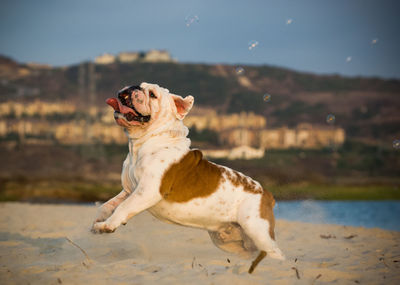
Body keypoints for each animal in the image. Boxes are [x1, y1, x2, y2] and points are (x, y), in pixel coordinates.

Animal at [91, 81, 284, 270]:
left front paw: (108, 225)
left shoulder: (147, 191)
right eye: (139, 84)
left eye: (152, 94)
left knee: (276, 253)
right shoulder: (129, 190)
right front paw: (99, 221)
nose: (132, 88)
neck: (144, 142)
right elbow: (108, 205)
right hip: (228, 241)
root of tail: (267, 194)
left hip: (257, 230)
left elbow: (124, 207)